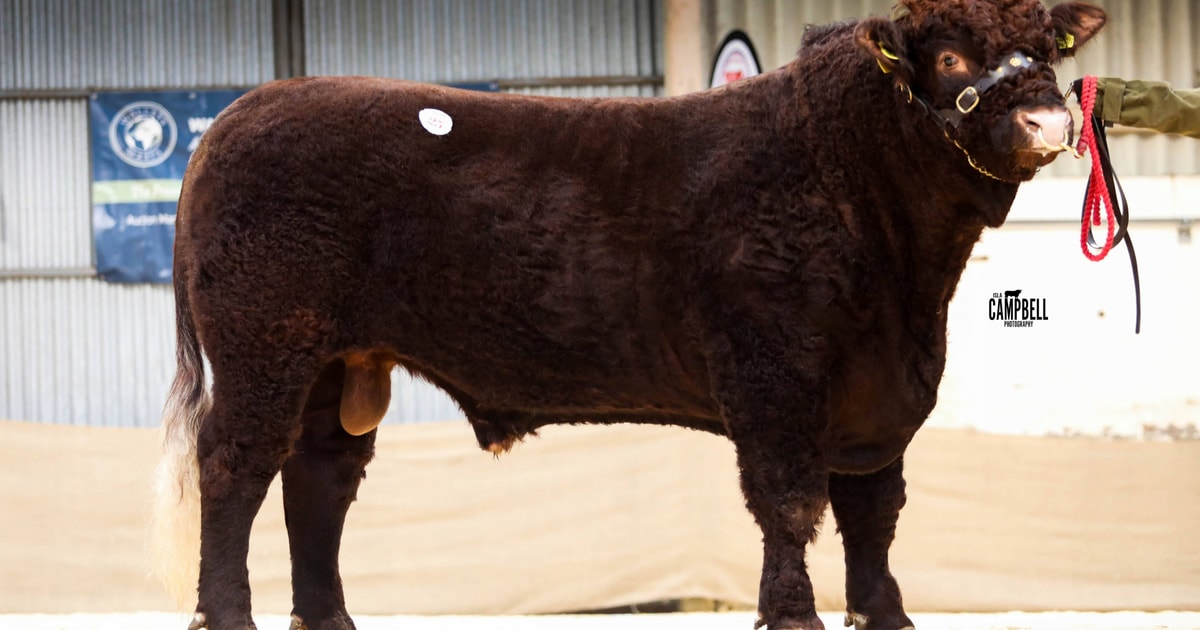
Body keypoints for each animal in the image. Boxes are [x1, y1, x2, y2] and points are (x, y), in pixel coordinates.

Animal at [151, 2, 1106, 629]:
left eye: (1045, 48)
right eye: (948, 60)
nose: (1048, 118)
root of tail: (244, 110)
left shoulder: (878, 400)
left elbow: (874, 517)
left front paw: (888, 615)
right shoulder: (775, 375)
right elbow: (791, 507)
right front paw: (791, 615)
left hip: (336, 363)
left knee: (318, 479)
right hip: (267, 345)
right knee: (235, 470)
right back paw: (226, 615)